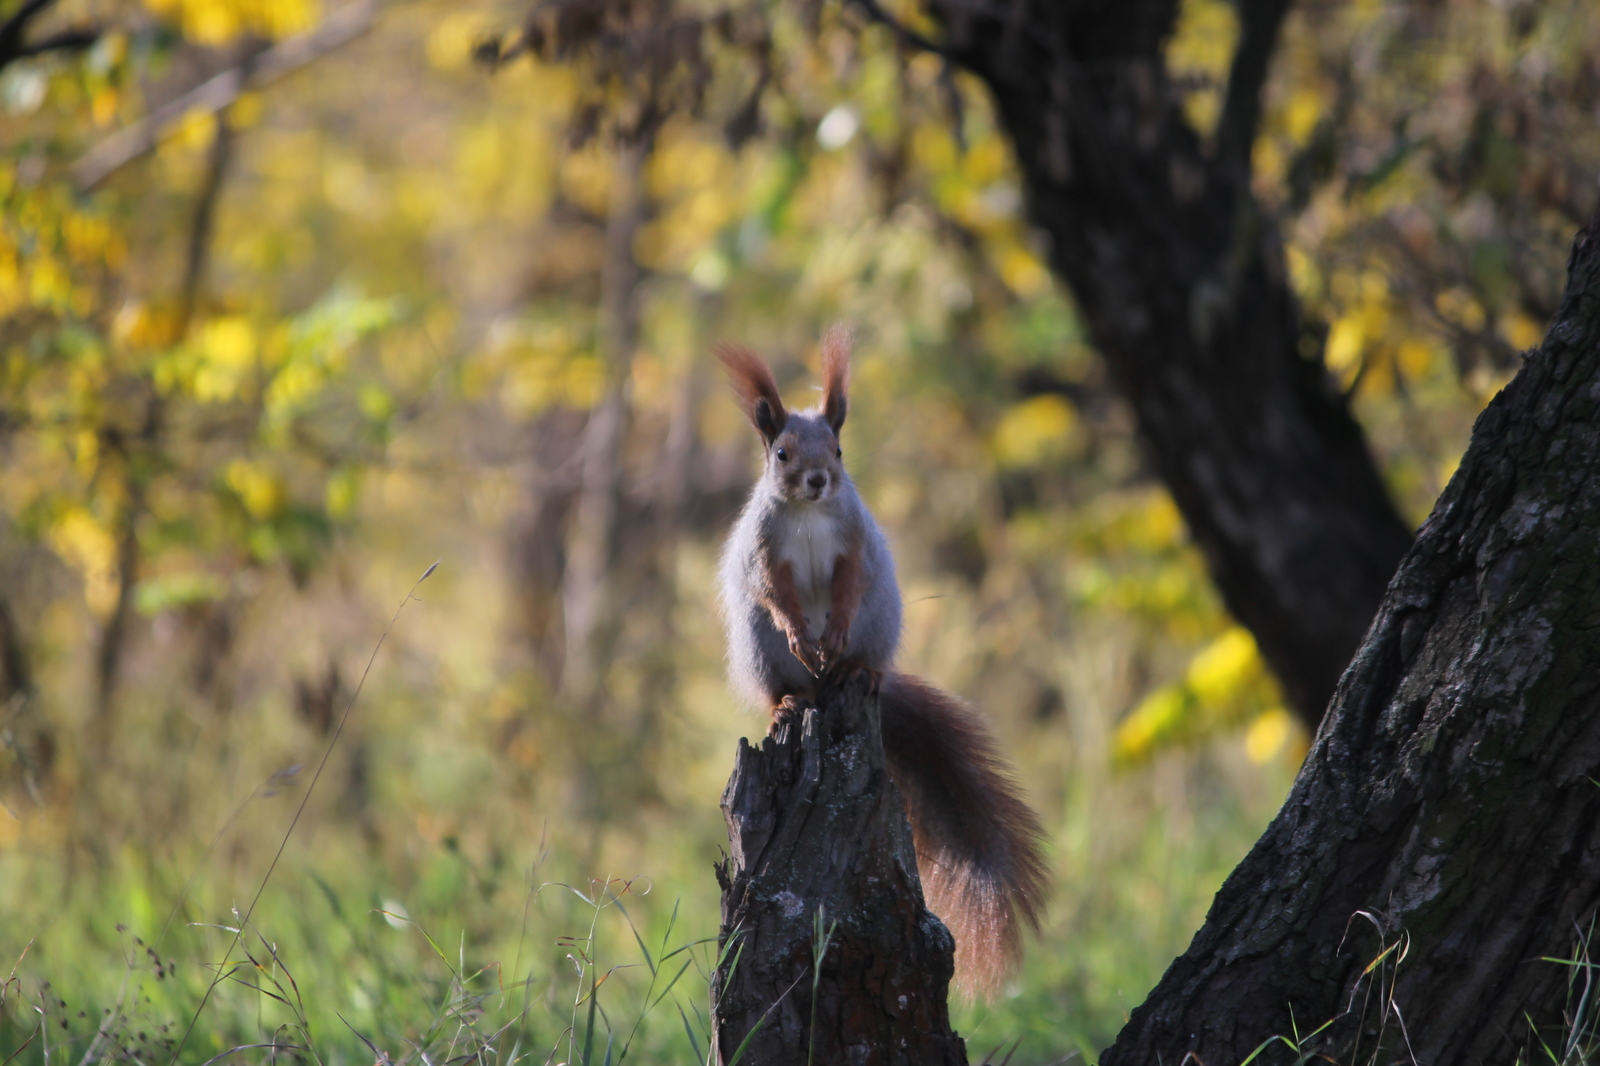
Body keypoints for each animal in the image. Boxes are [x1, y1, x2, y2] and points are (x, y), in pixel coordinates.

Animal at [716, 326, 1049, 998]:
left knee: (863, 653)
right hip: (758, 649)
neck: (810, 514)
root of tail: (823, 691)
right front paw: (802, 631)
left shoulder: (855, 540)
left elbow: (848, 579)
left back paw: (855, 670)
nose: (819, 479)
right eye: (782, 453)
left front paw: (832, 625)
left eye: (839, 449)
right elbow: (775, 592)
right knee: (778, 679)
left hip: (879, 621)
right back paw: (787, 700)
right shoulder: (763, 553)